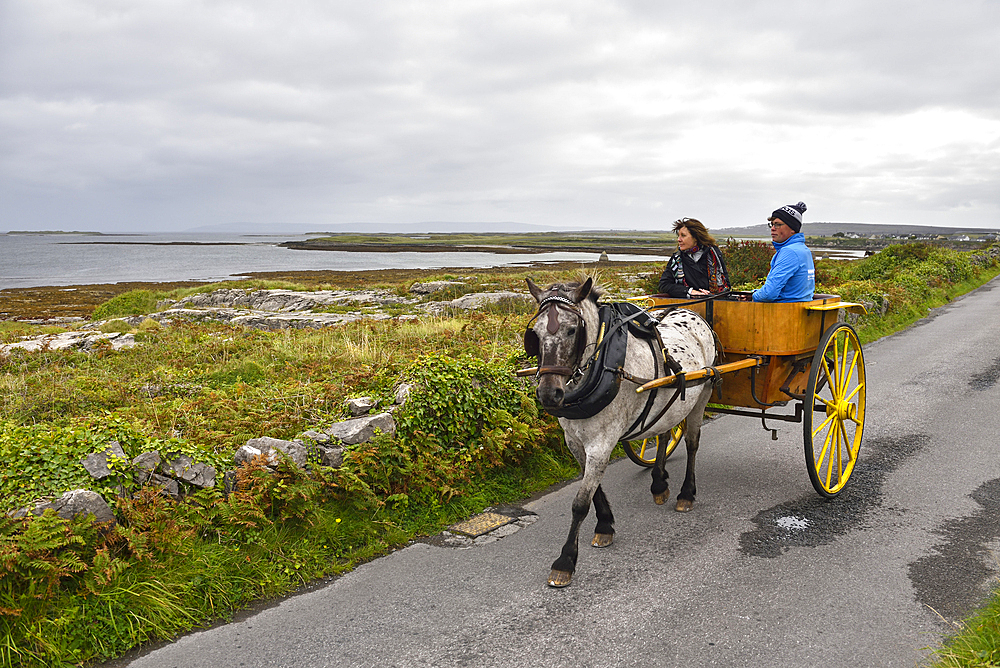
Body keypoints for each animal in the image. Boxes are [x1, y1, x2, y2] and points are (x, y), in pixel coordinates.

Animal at [524, 280, 720, 588]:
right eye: (535, 332)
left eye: (572, 330)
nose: (548, 394)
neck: (602, 364)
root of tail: (695, 314)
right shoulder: (575, 442)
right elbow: (593, 491)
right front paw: (605, 525)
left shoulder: (602, 443)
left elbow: (580, 502)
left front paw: (565, 561)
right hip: (667, 403)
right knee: (664, 435)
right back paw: (659, 483)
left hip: (703, 391)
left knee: (691, 442)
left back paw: (686, 494)